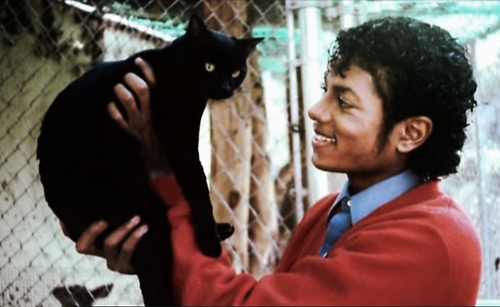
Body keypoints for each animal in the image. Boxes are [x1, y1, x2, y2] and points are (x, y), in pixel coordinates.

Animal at [37, 15, 264, 306]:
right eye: (209, 66)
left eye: (236, 72)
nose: (225, 87)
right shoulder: (180, 142)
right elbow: (198, 186)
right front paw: (209, 243)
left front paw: (213, 232)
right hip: (146, 216)